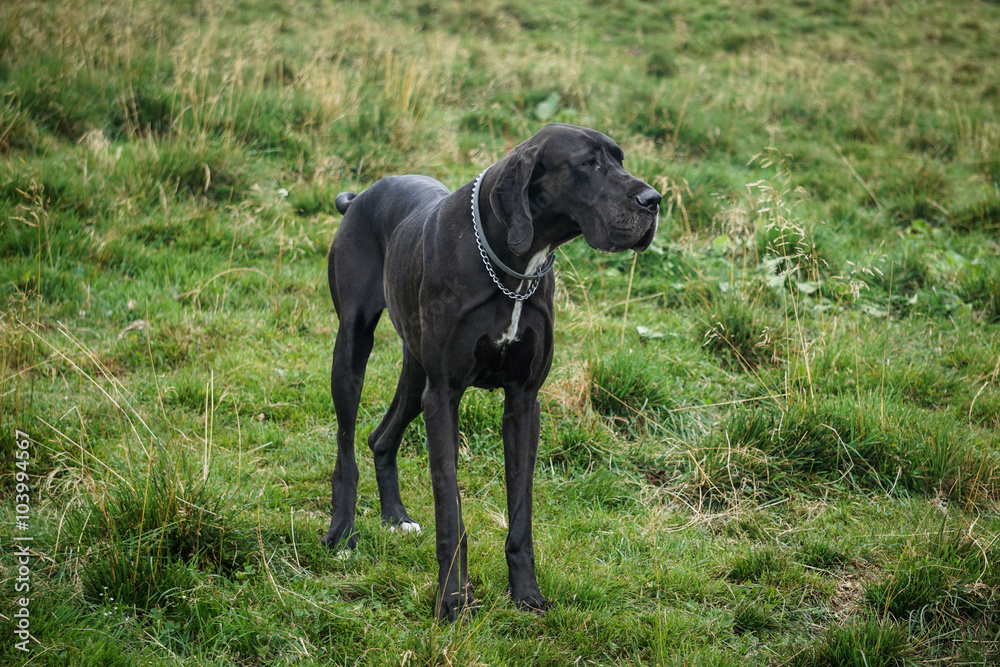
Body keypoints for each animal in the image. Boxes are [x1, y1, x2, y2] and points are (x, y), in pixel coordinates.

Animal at [324, 124, 660, 620]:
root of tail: (361, 195)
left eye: (620, 159)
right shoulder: (444, 396)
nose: (654, 200)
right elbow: (450, 508)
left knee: (381, 437)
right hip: (353, 347)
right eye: (589, 164)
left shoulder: (523, 401)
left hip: (416, 371)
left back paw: (396, 518)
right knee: (346, 444)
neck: (515, 268)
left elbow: (521, 509)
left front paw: (526, 594)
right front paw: (453, 600)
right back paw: (343, 533)